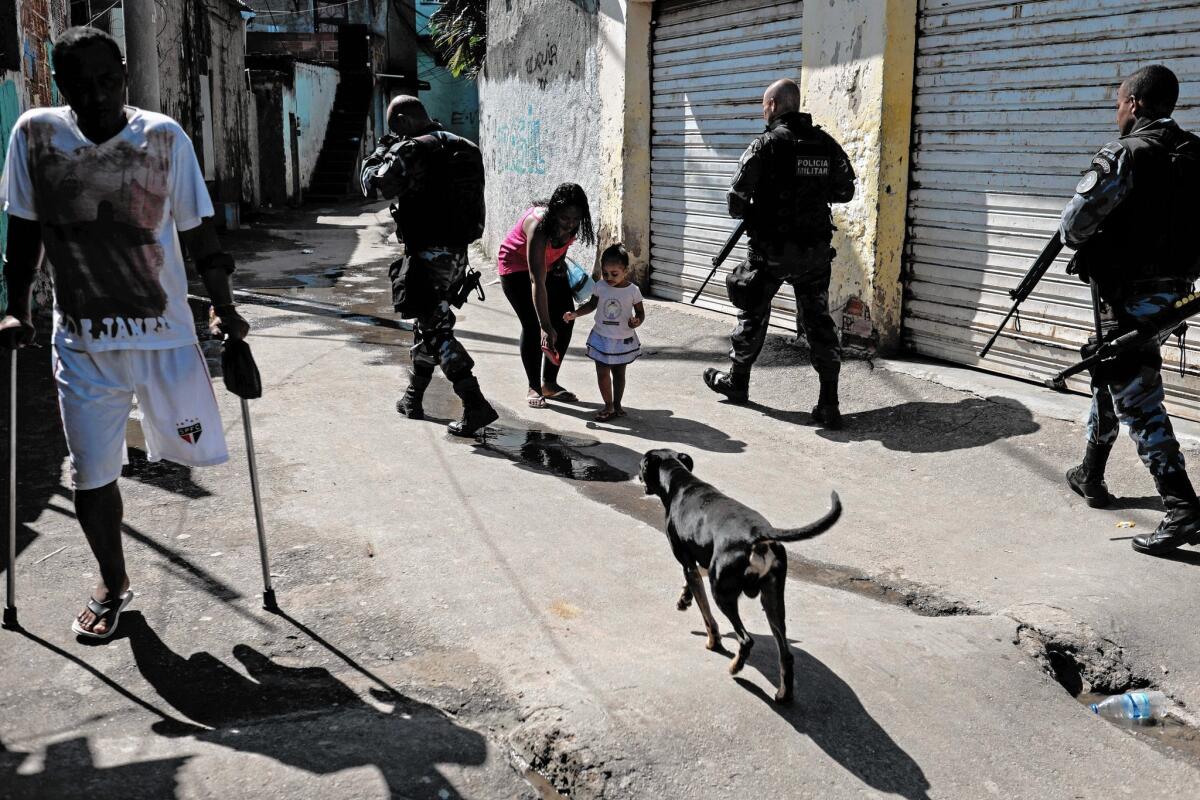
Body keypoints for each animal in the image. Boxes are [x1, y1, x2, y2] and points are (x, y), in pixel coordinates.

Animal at [638, 448, 844, 705]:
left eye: (642, 465)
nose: (637, 475)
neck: (681, 481)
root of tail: (759, 534)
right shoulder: (702, 561)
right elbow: (695, 583)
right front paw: (684, 598)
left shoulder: (688, 563)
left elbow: (707, 615)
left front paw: (713, 641)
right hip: (773, 600)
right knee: (786, 654)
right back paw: (784, 694)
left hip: (723, 593)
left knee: (745, 639)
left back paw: (735, 667)